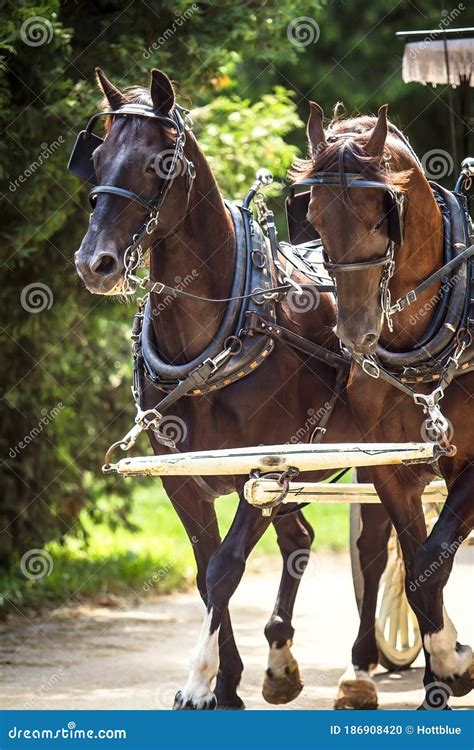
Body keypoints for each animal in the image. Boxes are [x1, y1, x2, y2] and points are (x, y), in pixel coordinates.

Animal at [74, 69, 390, 712]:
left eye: (160, 162)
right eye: (96, 157)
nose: (96, 263)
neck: (215, 338)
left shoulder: (260, 469)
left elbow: (225, 569)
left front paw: (200, 682)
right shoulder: (181, 479)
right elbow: (204, 573)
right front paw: (227, 681)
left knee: (376, 548)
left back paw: (366, 666)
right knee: (301, 536)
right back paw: (280, 658)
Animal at [298, 104, 472, 712]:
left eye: (381, 218)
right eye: (315, 217)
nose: (355, 335)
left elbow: (432, 561)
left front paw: (452, 664)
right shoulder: (391, 467)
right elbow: (418, 568)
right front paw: (444, 669)